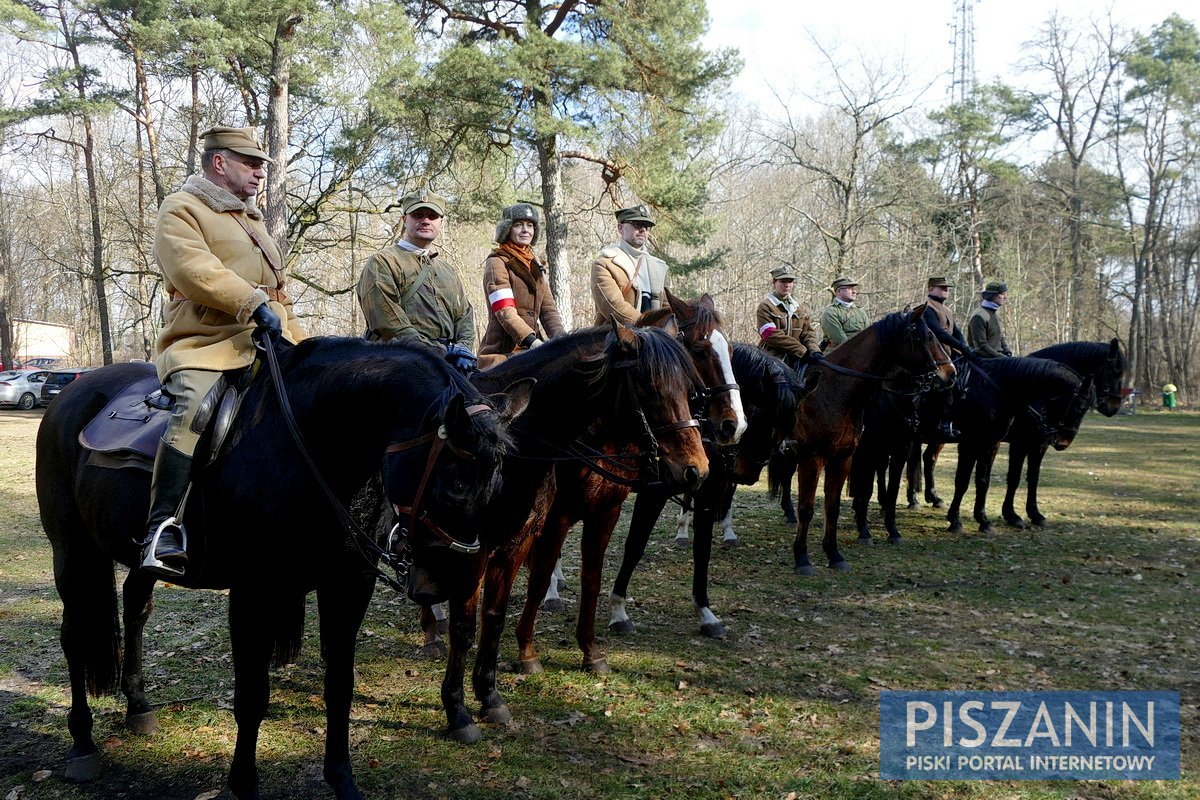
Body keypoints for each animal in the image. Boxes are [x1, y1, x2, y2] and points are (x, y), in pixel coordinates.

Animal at [36, 340, 530, 800]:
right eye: (457, 484)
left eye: (498, 483)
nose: (447, 584)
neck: (313, 445)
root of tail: (71, 393)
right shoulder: (253, 592)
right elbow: (252, 697)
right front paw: (244, 786)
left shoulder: (347, 586)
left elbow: (339, 684)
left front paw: (342, 780)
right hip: (70, 550)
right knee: (73, 638)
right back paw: (82, 743)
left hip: (139, 559)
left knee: (136, 611)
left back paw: (138, 706)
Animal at [403, 323, 705, 743]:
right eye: (651, 388)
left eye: (690, 388)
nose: (697, 469)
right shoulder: (486, 546)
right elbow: (469, 625)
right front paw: (460, 710)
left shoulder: (536, 535)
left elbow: (505, 611)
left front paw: (493, 694)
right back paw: (431, 633)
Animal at [772, 307, 960, 575]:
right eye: (924, 337)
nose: (950, 374)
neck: (835, 391)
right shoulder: (816, 458)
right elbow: (809, 508)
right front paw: (803, 558)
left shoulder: (848, 458)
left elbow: (836, 505)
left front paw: (835, 554)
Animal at [998, 340, 1128, 532]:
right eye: (1113, 371)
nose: (1114, 407)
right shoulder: (1020, 443)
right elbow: (1014, 477)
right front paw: (1011, 516)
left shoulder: (1039, 443)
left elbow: (1033, 476)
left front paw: (1035, 514)